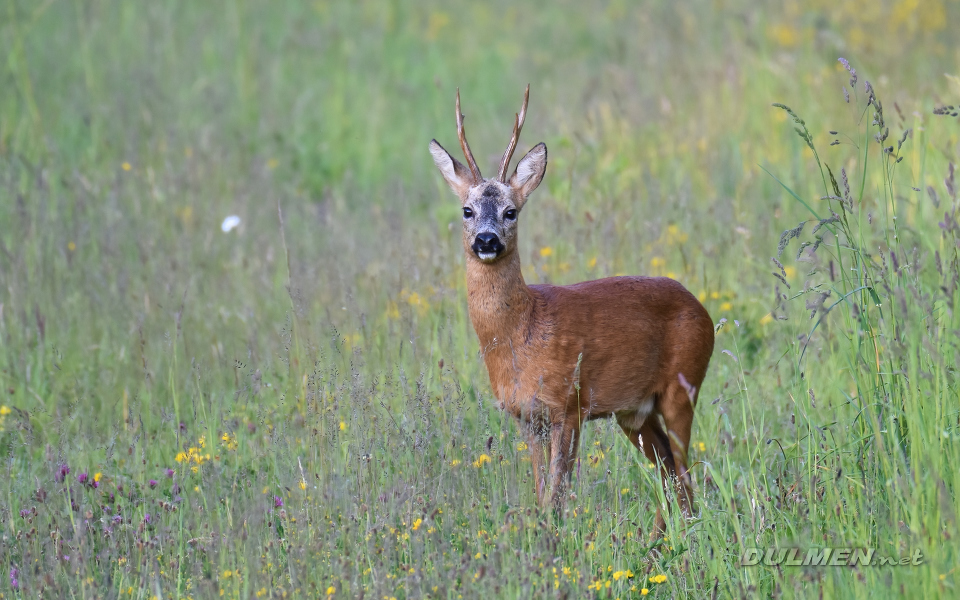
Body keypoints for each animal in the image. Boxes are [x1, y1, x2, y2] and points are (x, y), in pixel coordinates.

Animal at [428, 84, 712, 536]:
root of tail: (702, 308)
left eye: (511, 211)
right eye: (467, 211)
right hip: (634, 413)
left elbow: (555, 496)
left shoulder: (570, 404)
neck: (521, 334)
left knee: (685, 473)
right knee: (670, 472)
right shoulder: (528, 417)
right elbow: (541, 490)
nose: (487, 240)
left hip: (682, 387)